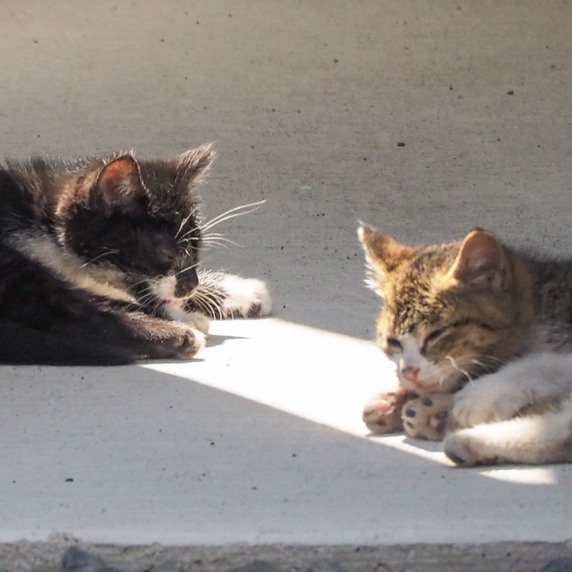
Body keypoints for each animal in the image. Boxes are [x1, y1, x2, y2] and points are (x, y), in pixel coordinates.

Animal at [0, 145, 272, 364]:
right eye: (168, 254)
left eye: (194, 252)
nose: (191, 285)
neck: (45, 222)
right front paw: (181, 322)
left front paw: (237, 291)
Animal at [360, 221, 572, 466]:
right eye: (393, 341)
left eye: (436, 334)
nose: (409, 372)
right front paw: (397, 400)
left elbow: (547, 363)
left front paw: (484, 394)